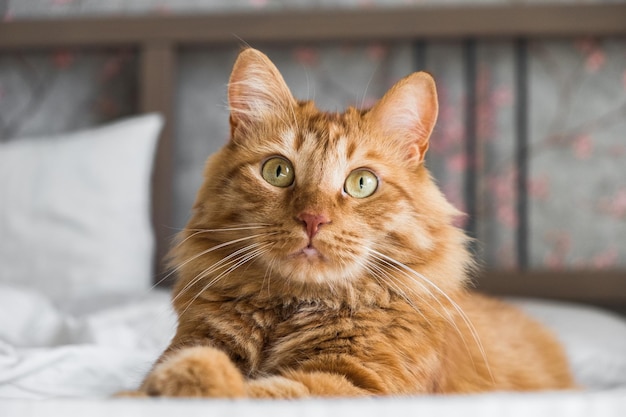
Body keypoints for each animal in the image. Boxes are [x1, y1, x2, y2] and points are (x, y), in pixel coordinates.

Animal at [135, 48, 572, 396]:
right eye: (277, 171)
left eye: (362, 183)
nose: (313, 219)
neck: (293, 308)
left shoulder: (356, 382)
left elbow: (257, 391)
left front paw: (195, 376)